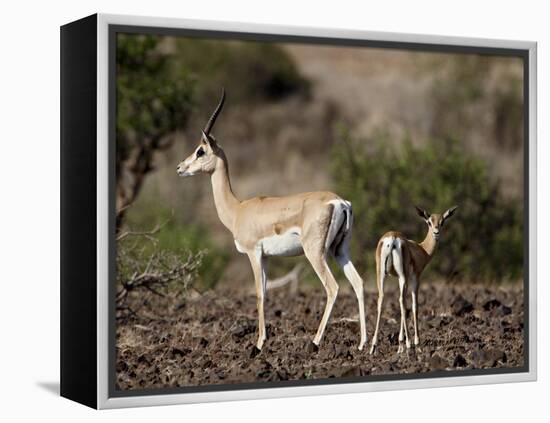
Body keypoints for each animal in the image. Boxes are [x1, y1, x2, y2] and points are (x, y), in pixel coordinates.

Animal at [177, 89, 366, 352]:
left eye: (200, 151)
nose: (180, 168)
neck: (238, 210)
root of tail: (339, 202)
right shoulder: (266, 257)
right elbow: (266, 293)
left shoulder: (254, 254)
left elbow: (259, 294)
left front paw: (258, 344)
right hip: (339, 250)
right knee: (358, 283)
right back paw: (365, 344)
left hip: (315, 253)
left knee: (333, 287)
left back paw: (315, 341)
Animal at [374, 205, 460, 354]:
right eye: (429, 222)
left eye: (442, 221)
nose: (436, 232)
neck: (421, 250)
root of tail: (392, 238)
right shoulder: (414, 278)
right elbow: (414, 306)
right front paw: (415, 344)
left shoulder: (402, 279)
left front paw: (400, 345)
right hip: (402, 277)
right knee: (402, 301)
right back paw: (409, 344)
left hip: (382, 275)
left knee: (382, 299)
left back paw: (372, 347)